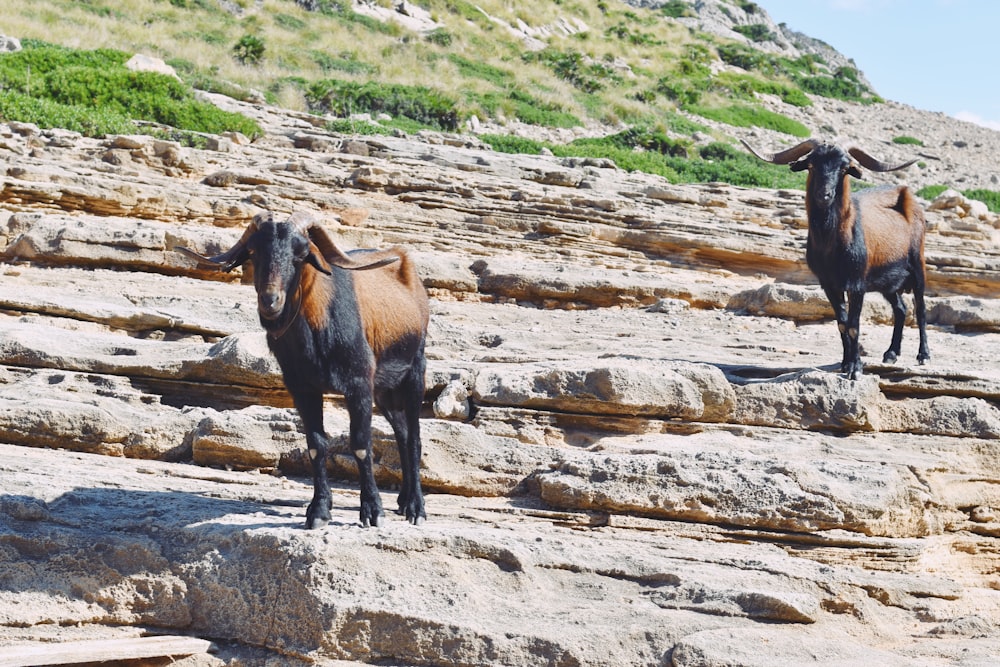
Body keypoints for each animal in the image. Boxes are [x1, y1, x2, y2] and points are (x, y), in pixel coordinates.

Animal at [178, 211, 428, 528]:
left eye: (300, 254)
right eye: (254, 251)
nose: (270, 301)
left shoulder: (358, 384)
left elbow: (361, 445)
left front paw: (372, 511)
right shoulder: (303, 389)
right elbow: (315, 444)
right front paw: (319, 511)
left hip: (414, 371)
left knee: (414, 437)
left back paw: (415, 507)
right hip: (385, 390)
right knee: (403, 432)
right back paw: (403, 499)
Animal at [744, 140, 928, 380]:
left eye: (844, 168)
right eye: (812, 165)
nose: (824, 195)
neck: (832, 246)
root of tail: (907, 197)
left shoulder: (856, 284)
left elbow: (853, 325)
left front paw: (855, 368)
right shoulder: (829, 284)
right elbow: (841, 324)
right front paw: (845, 364)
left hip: (917, 266)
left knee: (921, 310)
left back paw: (923, 355)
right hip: (887, 284)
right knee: (901, 309)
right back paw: (891, 354)